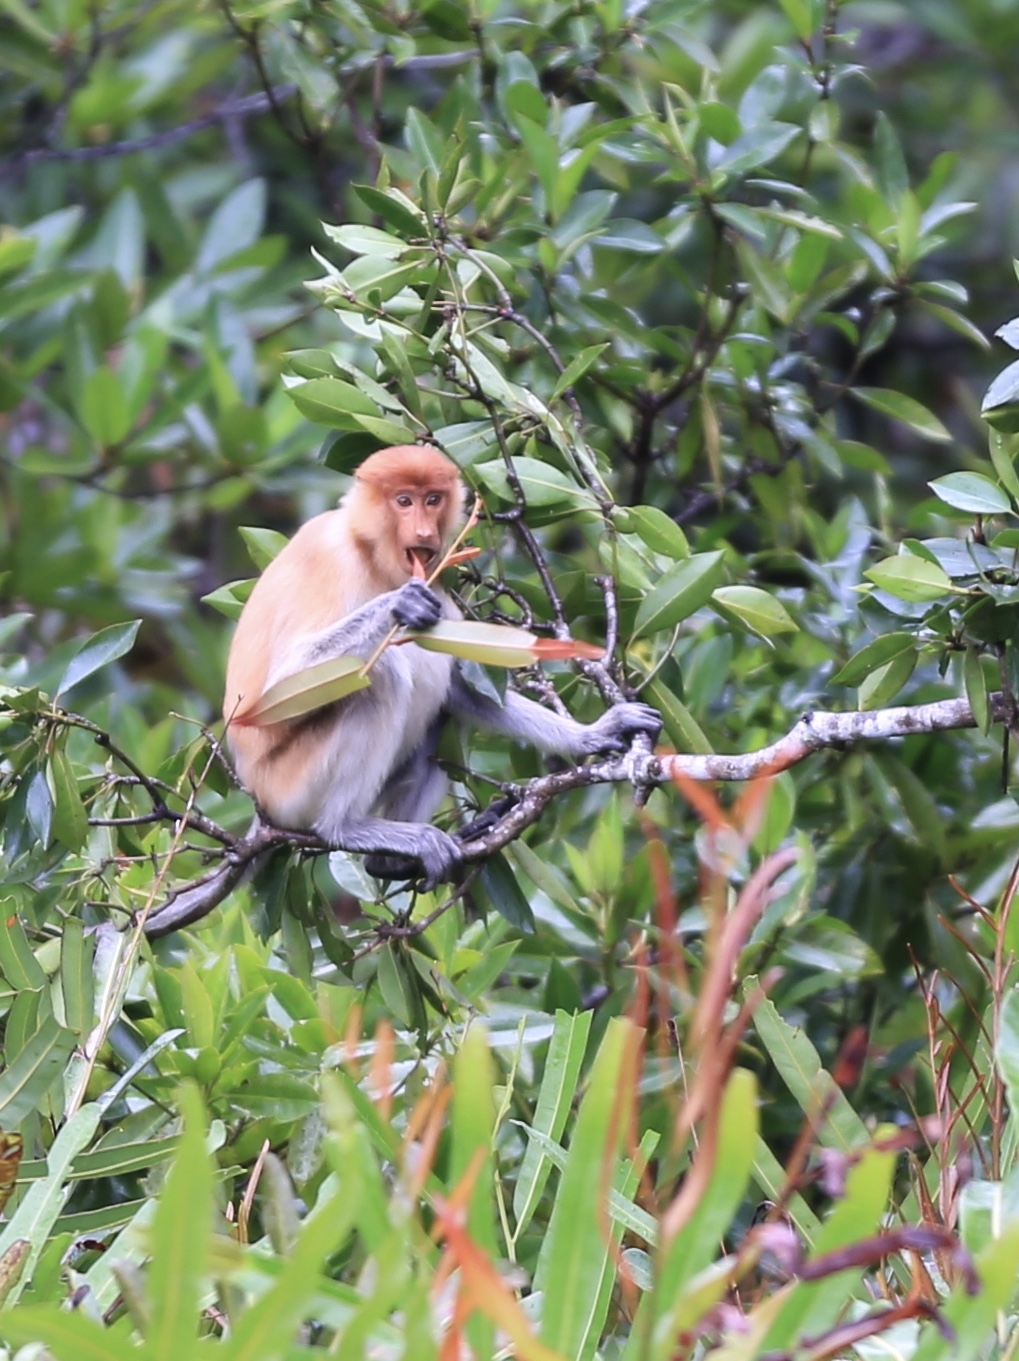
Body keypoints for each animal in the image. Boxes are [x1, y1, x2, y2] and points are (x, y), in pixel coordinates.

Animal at [148, 446, 661, 936]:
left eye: (433, 499)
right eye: (403, 501)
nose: (423, 530)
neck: (369, 549)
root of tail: (261, 803)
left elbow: (460, 687)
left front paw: (598, 731)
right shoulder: (328, 558)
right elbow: (274, 690)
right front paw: (400, 604)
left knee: (438, 713)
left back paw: (392, 858)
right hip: (293, 784)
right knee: (382, 677)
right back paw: (348, 827)